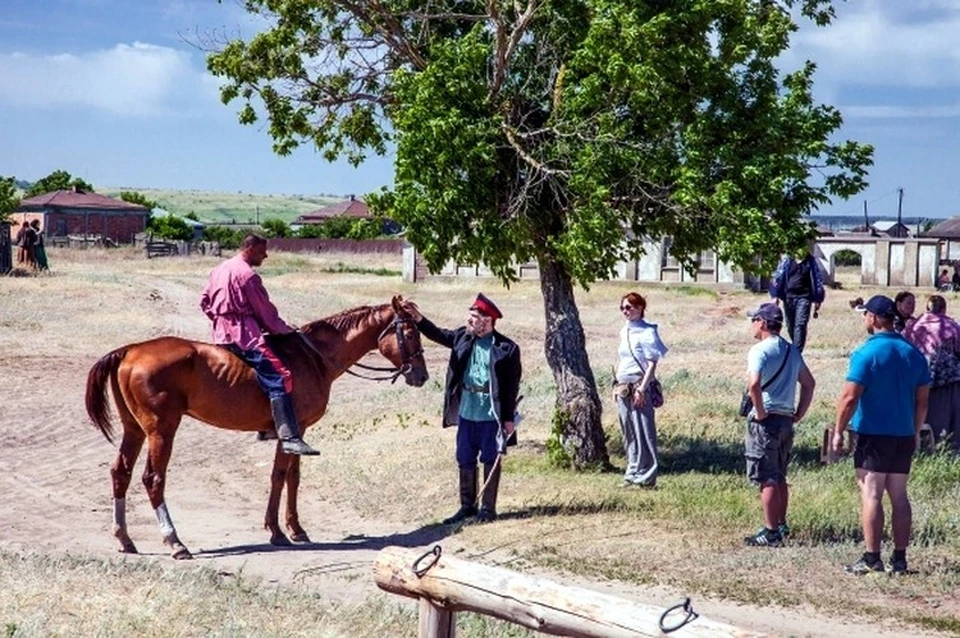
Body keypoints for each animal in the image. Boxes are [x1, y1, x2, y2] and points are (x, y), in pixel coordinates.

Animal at [82, 296, 428, 560]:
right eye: (410, 334)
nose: (421, 375)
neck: (312, 358)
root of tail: (130, 350)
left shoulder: (298, 433)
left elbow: (293, 478)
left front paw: (296, 529)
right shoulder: (292, 432)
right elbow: (279, 476)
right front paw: (277, 531)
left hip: (134, 430)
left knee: (120, 473)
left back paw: (124, 538)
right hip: (161, 431)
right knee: (153, 479)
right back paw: (175, 542)